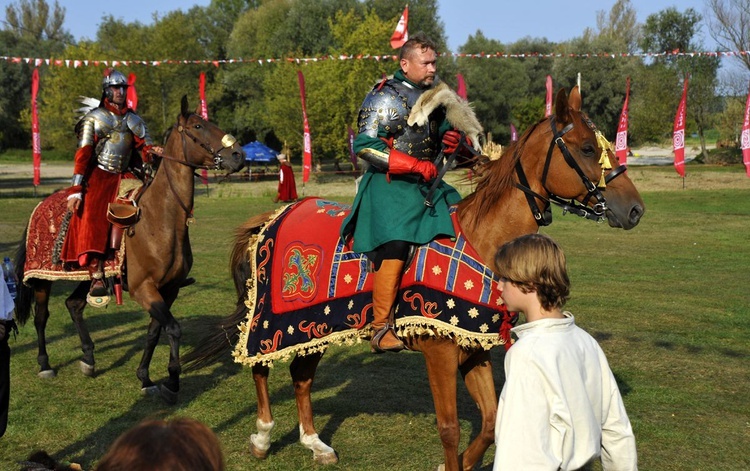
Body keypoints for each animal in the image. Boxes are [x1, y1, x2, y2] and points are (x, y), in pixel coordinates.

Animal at [13, 97, 244, 406]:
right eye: (198, 126)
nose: (238, 155)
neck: (161, 220)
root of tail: (39, 207)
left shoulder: (169, 290)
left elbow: (154, 332)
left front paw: (146, 379)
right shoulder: (143, 288)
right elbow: (173, 329)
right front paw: (172, 382)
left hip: (89, 276)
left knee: (74, 304)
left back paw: (88, 358)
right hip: (41, 280)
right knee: (41, 317)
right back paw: (45, 364)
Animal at [184, 87, 648, 468]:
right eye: (587, 148)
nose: (634, 210)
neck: (481, 238)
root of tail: (275, 215)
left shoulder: (472, 347)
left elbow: (491, 422)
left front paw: (460, 463)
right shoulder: (440, 353)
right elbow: (450, 428)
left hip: (312, 327)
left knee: (301, 375)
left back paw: (315, 443)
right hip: (269, 322)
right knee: (260, 367)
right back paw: (262, 437)